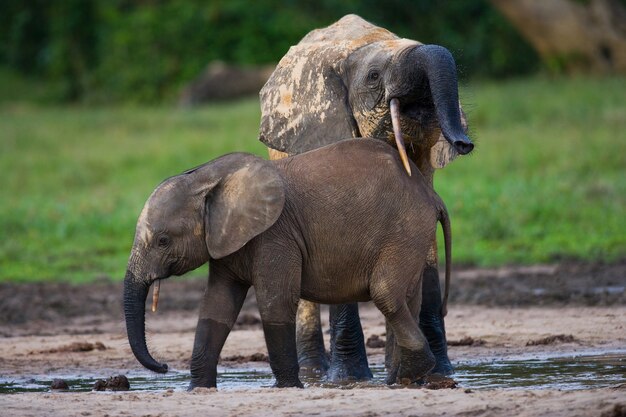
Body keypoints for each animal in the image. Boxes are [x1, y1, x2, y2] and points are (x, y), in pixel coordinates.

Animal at [123, 139, 448, 386]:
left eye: (163, 241)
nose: (164, 367)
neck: (205, 176)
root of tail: (431, 193)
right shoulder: (225, 241)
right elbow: (217, 306)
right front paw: (197, 389)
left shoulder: (275, 234)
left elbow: (275, 304)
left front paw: (289, 387)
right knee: (407, 298)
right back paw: (403, 379)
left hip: (405, 229)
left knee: (386, 294)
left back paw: (408, 375)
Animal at [258, 15, 472, 380]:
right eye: (373, 77)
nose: (465, 144)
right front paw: (349, 378)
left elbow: (425, 252)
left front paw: (438, 374)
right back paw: (314, 372)